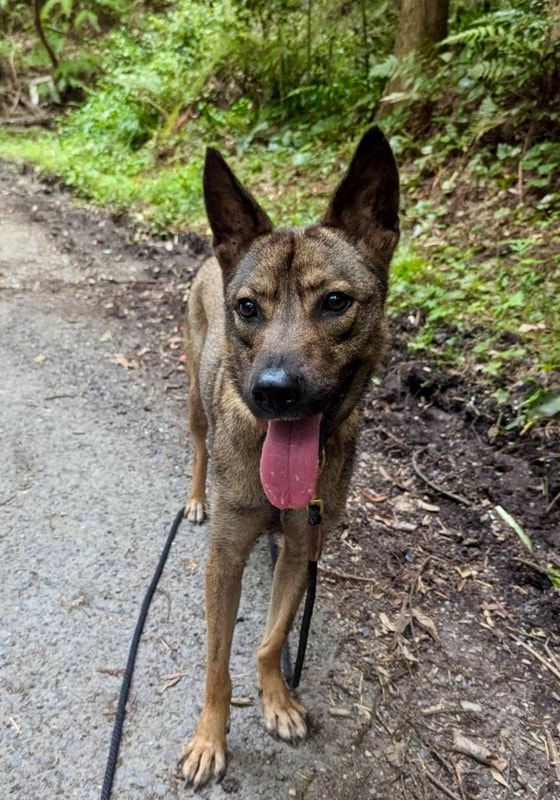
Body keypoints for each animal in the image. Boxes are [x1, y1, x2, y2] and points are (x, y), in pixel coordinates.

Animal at [179, 126, 398, 788]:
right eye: (248, 308)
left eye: (335, 302)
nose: (274, 392)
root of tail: (213, 256)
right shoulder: (223, 560)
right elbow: (217, 664)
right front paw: (210, 737)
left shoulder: (306, 548)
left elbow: (273, 639)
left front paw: (275, 698)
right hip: (194, 402)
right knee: (198, 448)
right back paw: (195, 497)